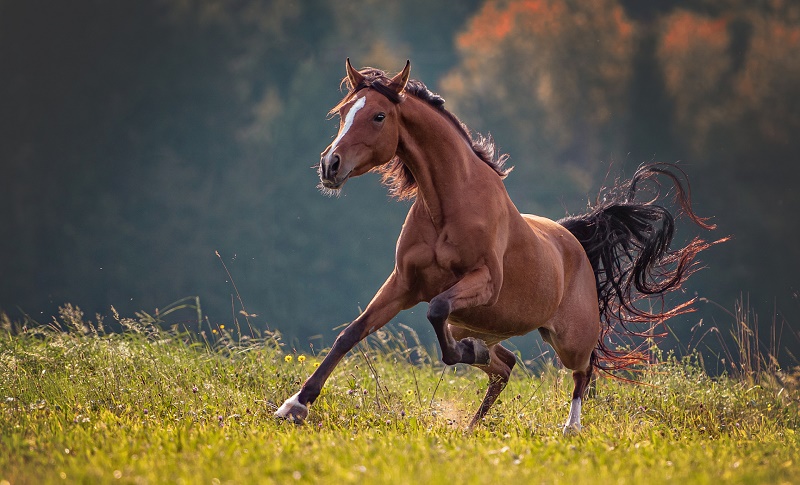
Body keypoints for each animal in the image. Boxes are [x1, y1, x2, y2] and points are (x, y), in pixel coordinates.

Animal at [274, 58, 720, 432]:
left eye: (378, 115)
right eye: (343, 113)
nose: (330, 165)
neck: (450, 204)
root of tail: (574, 239)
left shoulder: (484, 282)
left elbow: (436, 311)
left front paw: (466, 353)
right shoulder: (403, 283)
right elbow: (351, 334)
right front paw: (294, 405)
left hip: (569, 338)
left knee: (583, 369)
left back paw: (570, 428)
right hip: (476, 321)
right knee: (505, 365)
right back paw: (473, 417)